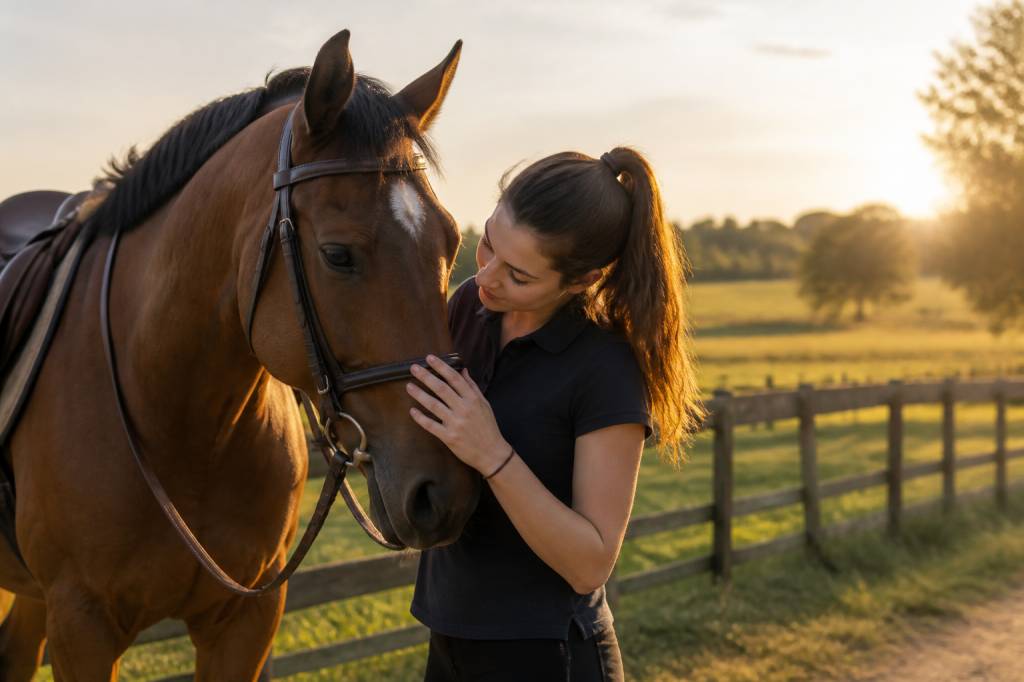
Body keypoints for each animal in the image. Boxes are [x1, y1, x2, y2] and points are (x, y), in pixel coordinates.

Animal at [0, 29, 479, 680]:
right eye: (337, 254)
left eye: (451, 244)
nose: (443, 496)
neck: (185, 424)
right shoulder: (81, 625)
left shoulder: (246, 621)